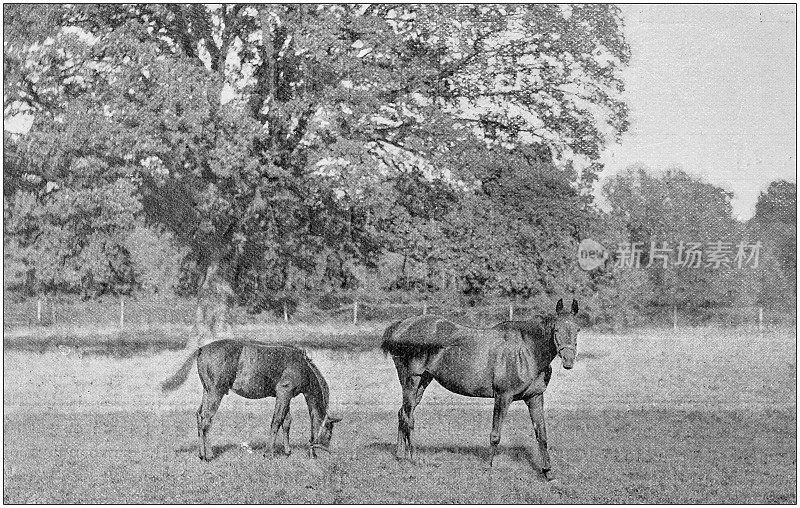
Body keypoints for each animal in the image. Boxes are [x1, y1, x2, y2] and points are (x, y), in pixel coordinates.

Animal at [159, 340, 340, 462]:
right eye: (329, 431)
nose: (316, 453)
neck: (302, 366)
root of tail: (201, 349)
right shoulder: (284, 393)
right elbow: (276, 421)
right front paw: (269, 453)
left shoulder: (285, 396)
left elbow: (286, 422)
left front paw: (287, 451)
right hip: (215, 393)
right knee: (206, 420)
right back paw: (209, 455)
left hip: (207, 391)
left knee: (199, 416)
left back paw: (201, 454)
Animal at [382, 298, 580, 480]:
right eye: (556, 330)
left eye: (577, 330)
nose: (568, 361)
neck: (526, 351)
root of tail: (401, 325)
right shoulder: (503, 397)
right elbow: (495, 434)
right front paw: (488, 467)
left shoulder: (535, 397)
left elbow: (542, 435)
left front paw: (547, 472)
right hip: (411, 381)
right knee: (408, 417)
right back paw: (414, 458)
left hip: (423, 381)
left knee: (403, 413)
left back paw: (400, 455)